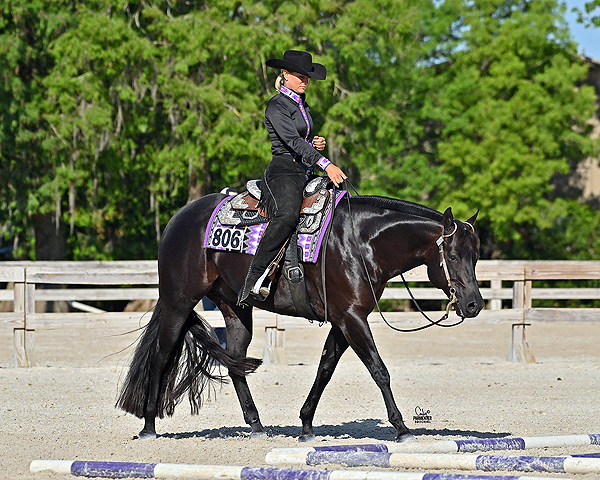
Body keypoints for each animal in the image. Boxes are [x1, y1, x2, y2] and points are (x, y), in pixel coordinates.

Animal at [116, 192, 484, 443]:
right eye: (452, 256)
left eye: (476, 255)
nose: (473, 305)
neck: (360, 243)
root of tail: (178, 219)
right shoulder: (352, 319)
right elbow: (379, 370)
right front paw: (402, 427)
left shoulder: (343, 321)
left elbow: (324, 370)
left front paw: (306, 424)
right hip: (178, 302)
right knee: (161, 355)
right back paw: (148, 426)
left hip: (236, 309)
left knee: (235, 362)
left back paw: (257, 425)